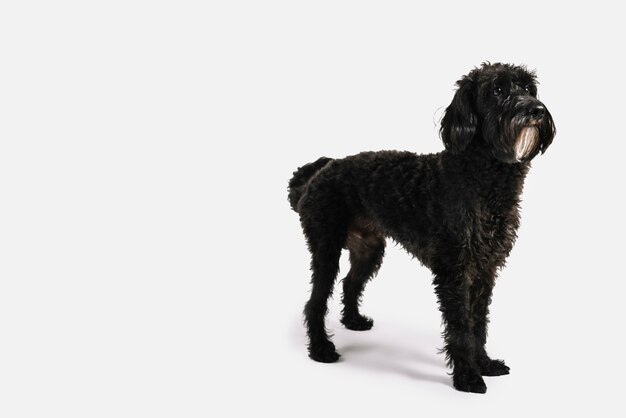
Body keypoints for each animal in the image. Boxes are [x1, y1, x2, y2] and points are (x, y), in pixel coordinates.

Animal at [286, 62, 552, 392]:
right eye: (498, 90)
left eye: (528, 88)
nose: (537, 110)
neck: (481, 177)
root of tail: (319, 171)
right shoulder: (454, 271)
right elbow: (461, 327)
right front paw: (467, 377)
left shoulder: (485, 270)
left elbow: (478, 322)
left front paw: (485, 364)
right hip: (326, 247)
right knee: (315, 301)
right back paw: (321, 349)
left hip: (369, 249)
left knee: (350, 282)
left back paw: (354, 321)